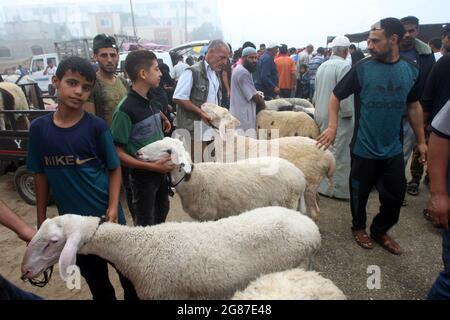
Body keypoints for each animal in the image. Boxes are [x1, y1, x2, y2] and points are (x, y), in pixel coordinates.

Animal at [136, 136, 306, 221]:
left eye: (168, 151)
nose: (138, 153)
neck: (194, 179)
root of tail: (300, 176)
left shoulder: (208, 215)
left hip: (287, 201)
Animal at [200, 102, 334, 220]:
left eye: (218, 111)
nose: (203, 104)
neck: (229, 144)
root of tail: (330, 157)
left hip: (310, 181)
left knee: (315, 212)